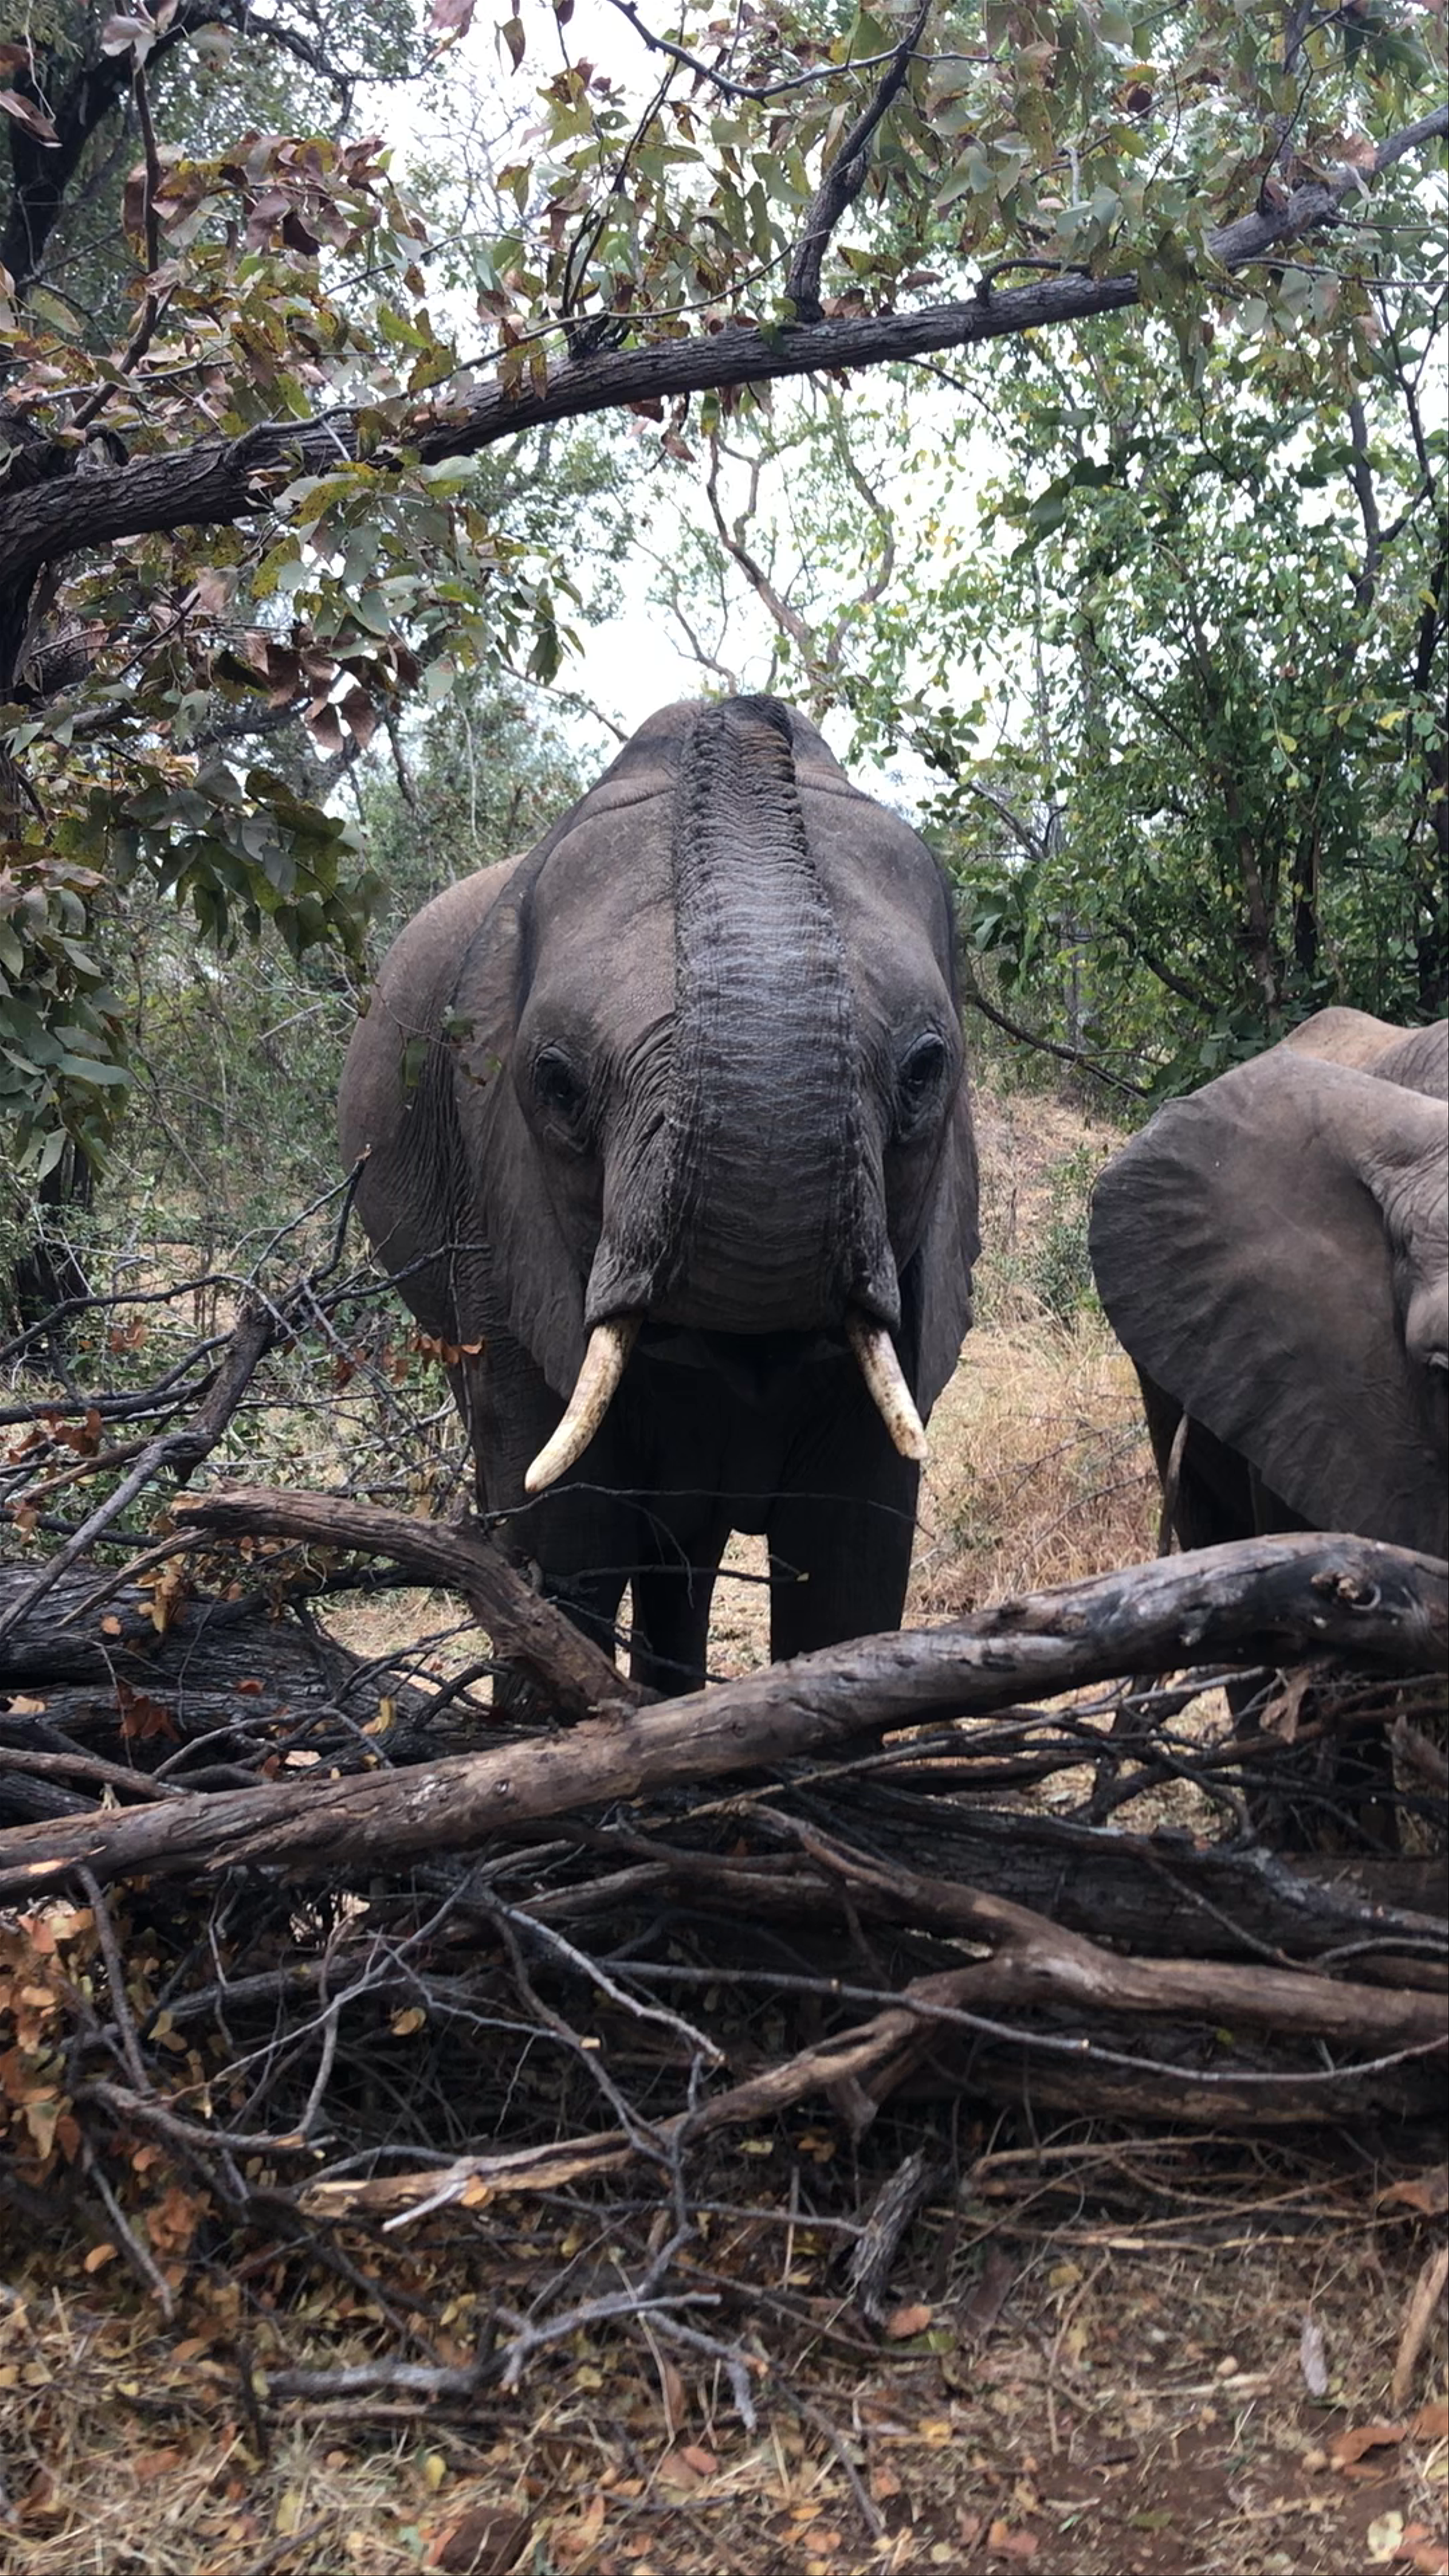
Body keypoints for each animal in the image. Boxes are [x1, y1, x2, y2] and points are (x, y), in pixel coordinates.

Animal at [339, 695, 979, 1695]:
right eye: (557, 1085)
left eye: (924, 1071)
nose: (747, 714)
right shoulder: (496, 1207)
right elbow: (566, 1539)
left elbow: (848, 1569)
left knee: (688, 1552)